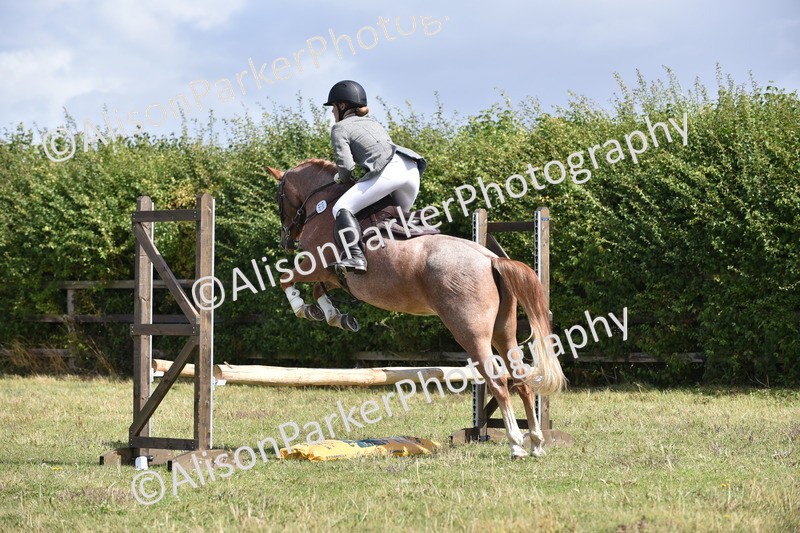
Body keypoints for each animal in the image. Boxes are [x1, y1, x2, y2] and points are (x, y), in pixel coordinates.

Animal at [266, 158, 566, 459]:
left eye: (278, 198)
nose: (286, 241)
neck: (323, 204)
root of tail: (489, 259)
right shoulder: (331, 274)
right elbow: (319, 291)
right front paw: (333, 316)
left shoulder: (314, 265)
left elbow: (286, 278)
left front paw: (302, 308)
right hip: (504, 331)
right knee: (521, 380)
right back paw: (536, 443)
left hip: (472, 333)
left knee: (499, 382)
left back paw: (516, 444)